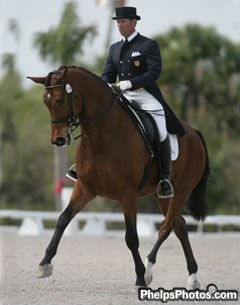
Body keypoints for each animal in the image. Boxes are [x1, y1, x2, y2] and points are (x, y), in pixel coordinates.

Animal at [28, 65, 209, 288]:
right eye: (46, 101)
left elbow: (131, 237)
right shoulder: (85, 187)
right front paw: (44, 264)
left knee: (166, 227)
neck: (102, 137)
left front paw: (139, 277)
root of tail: (195, 133)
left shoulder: (127, 194)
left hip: (182, 191)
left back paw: (150, 271)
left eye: (61, 100)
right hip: (160, 195)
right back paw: (191, 278)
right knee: (180, 226)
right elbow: (63, 219)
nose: (58, 140)